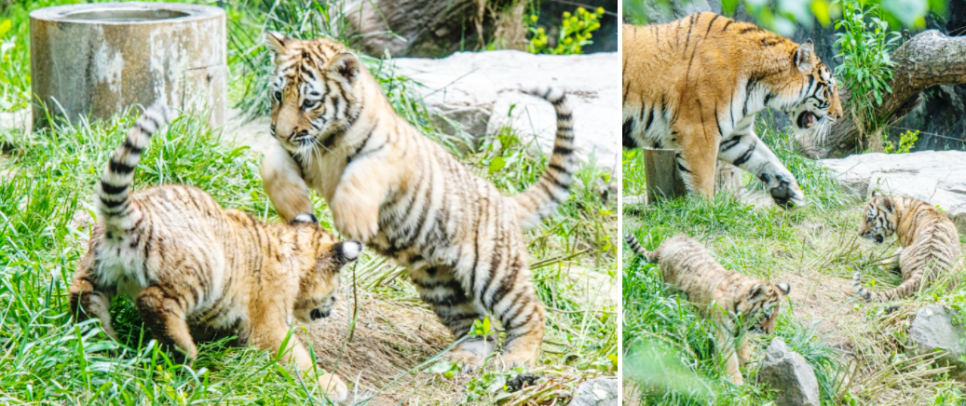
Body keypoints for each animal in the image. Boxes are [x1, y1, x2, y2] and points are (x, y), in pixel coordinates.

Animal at [624, 11, 844, 209]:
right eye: (829, 88)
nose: (839, 115)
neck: (760, 89)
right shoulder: (698, 131)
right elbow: (703, 181)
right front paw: (705, 214)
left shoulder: (734, 134)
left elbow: (765, 158)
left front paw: (788, 191)